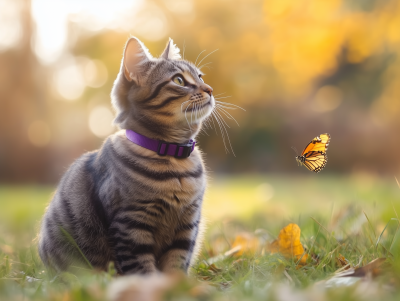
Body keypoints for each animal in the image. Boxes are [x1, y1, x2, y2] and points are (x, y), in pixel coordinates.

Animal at [38, 36, 214, 274]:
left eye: (200, 76)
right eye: (179, 80)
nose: (210, 89)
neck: (173, 157)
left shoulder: (187, 226)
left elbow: (176, 266)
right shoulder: (131, 224)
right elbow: (143, 270)